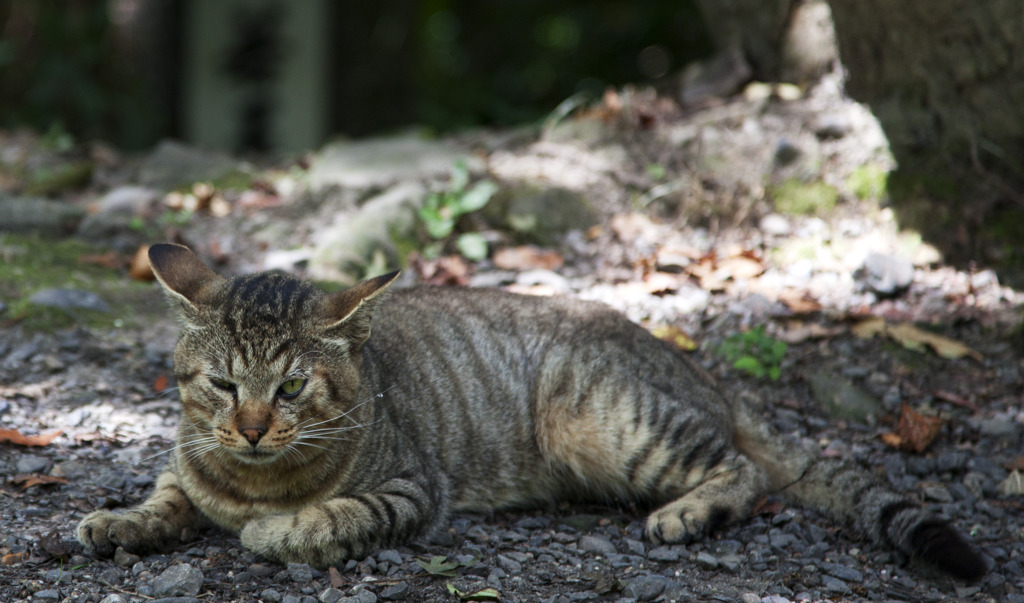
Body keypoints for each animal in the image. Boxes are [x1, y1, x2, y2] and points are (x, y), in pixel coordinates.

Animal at [75, 243, 987, 577]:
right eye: (225, 385)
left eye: (291, 387)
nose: (254, 426)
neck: (252, 477)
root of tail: (687, 360)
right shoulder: (187, 461)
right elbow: (167, 494)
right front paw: (121, 520)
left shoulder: (414, 489)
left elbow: (325, 517)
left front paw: (275, 529)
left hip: (610, 422)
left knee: (742, 468)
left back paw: (687, 514)